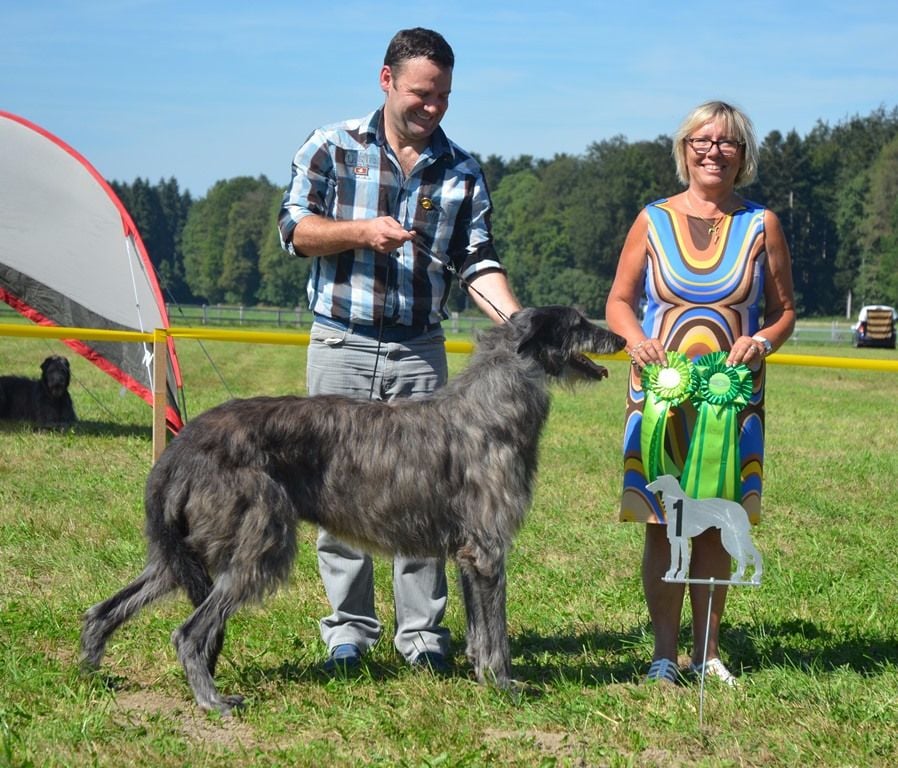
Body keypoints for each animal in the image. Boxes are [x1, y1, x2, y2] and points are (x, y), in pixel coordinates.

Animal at [80, 306, 624, 712]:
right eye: (578, 322)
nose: (619, 337)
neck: (493, 406)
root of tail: (180, 447)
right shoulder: (489, 551)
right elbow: (497, 636)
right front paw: (505, 685)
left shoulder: (471, 554)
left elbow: (478, 630)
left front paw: (483, 678)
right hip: (258, 540)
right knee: (189, 632)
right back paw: (212, 700)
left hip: (180, 552)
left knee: (108, 606)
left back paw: (89, 669)